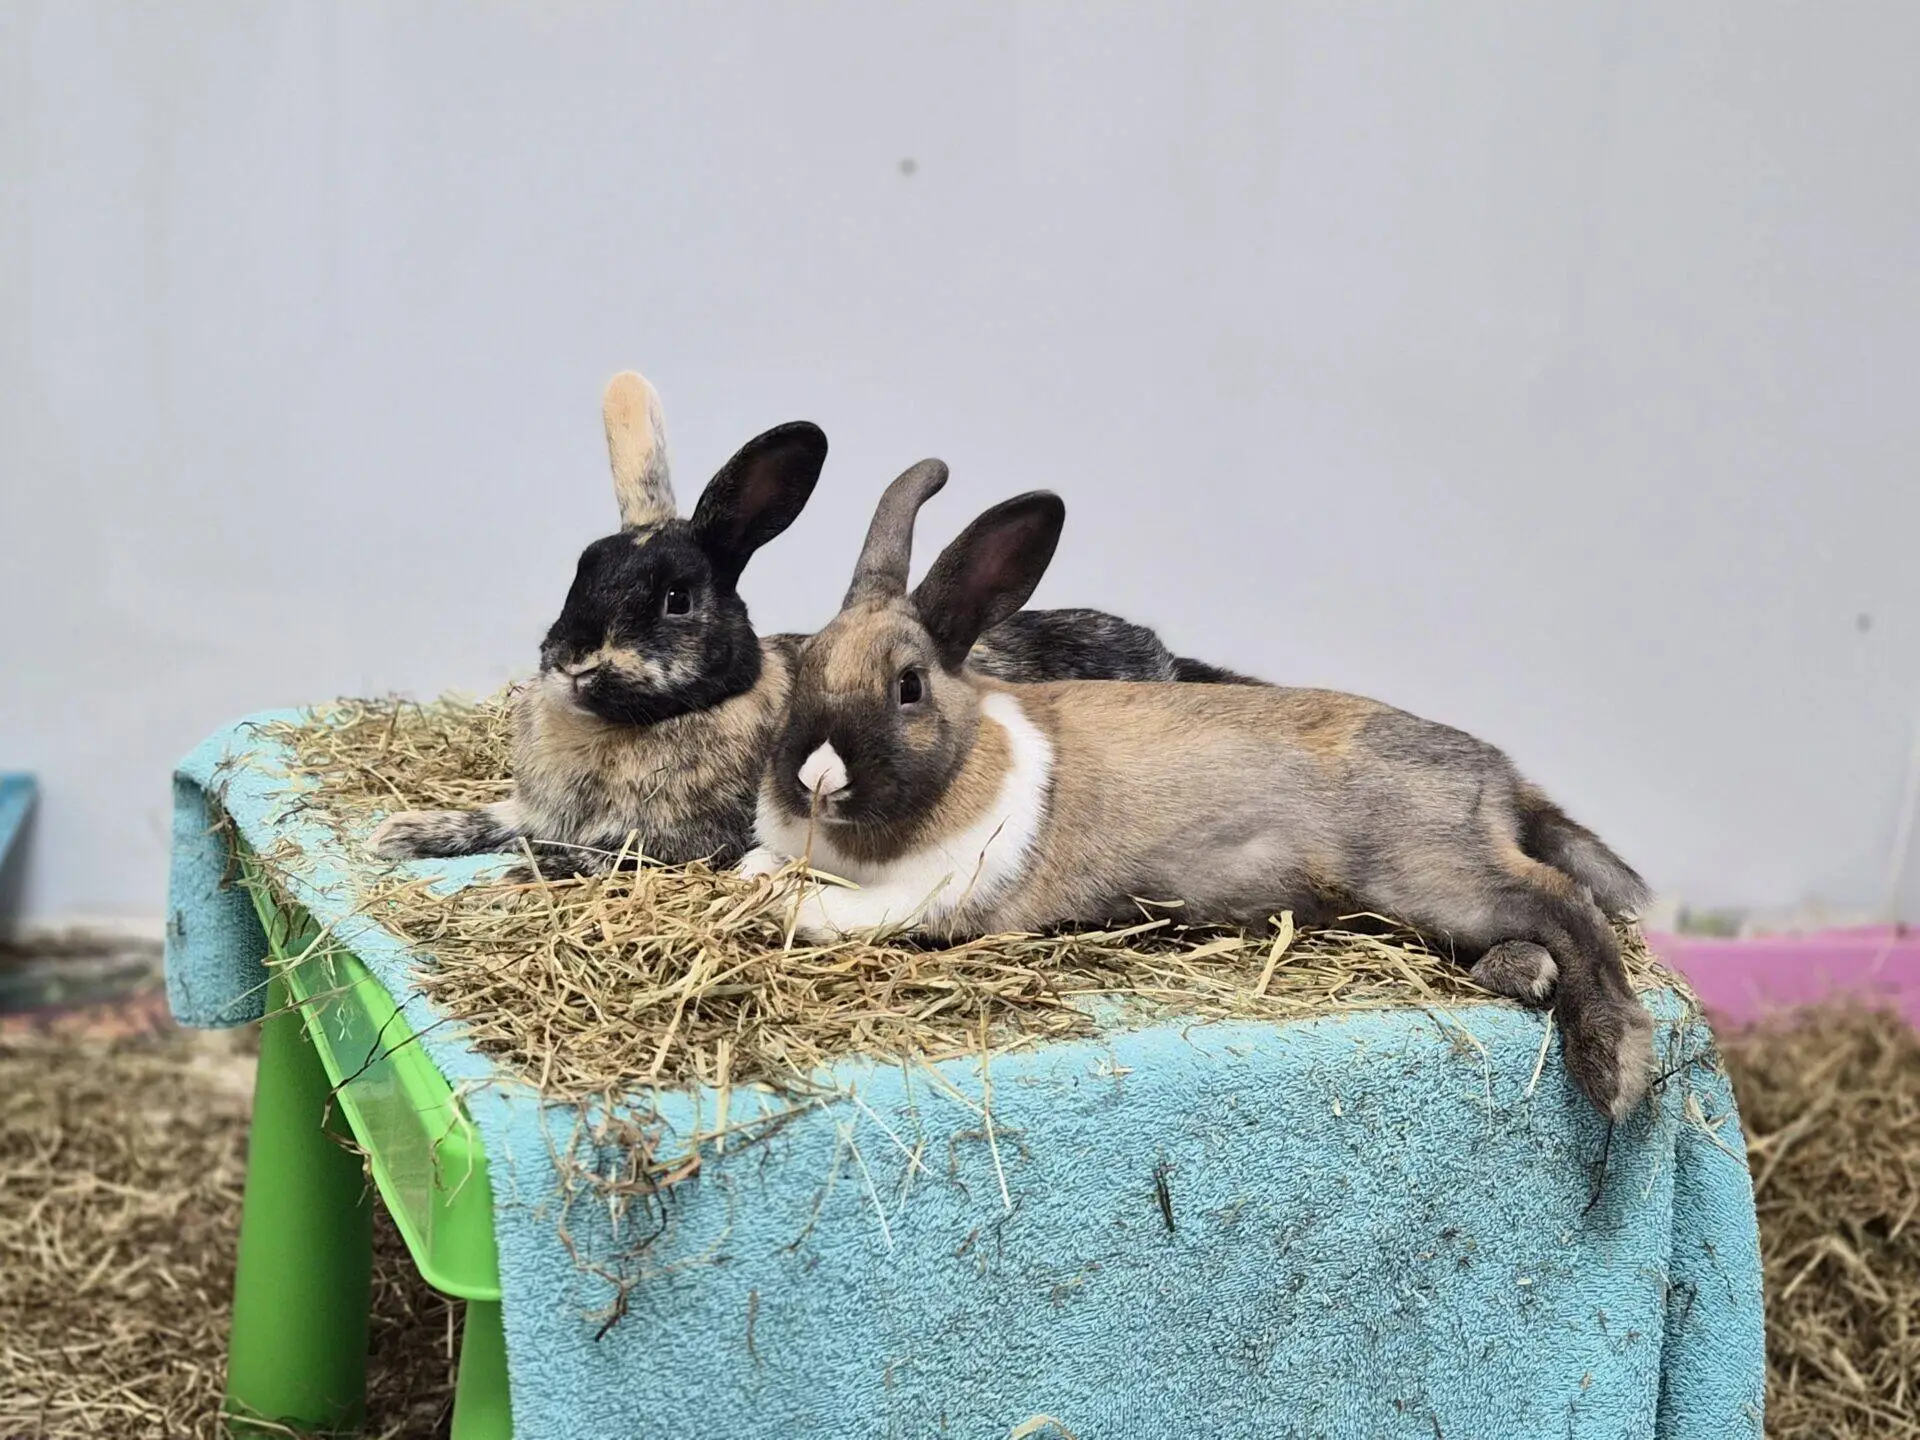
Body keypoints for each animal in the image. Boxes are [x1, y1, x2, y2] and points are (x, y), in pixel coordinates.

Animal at [371, 373, 1256, 877]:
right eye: (583, 567)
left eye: (676, 599)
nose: (571, 659)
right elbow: (490, 817)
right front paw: (399, 832)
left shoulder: (690, 839)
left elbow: (592, 849)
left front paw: (530, 865)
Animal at [741, 461, 1656, 1120]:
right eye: (807, 663)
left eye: (908, 686)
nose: (815, 774)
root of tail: (1499, 775)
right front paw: (758, 877)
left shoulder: (931, 893)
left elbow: (831, 909)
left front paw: (786, 903)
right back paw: (1525, 975)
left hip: (1431, 869)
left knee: (1566, 900)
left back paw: (1613, 1066)